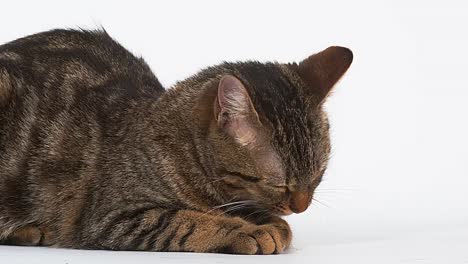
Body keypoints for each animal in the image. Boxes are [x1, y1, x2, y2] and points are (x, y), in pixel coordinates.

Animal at [0, 28, 352, 254]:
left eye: (318, 176)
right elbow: (186, 221)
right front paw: (246, 230)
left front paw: (271, 223)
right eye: (279, 184)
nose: (301, 207)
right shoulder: (115, 217)